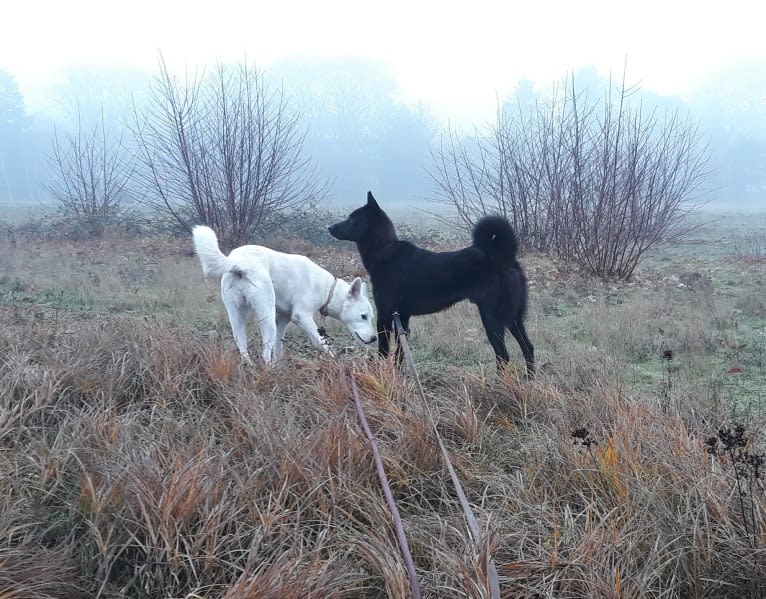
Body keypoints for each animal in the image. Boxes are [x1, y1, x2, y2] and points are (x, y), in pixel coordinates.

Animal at [189, 226, 376, 364]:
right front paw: (336, 361)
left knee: (243, 347)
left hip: (237, 316)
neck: (327, 289)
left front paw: (280, 365)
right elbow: (321, 343)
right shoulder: (301, 316)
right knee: (265, 353)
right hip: (267, 316)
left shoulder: (282, 320)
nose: (374, 338)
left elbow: (279, 349)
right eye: (363, 316)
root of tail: (239, 263)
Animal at [328, 192, 536, 376]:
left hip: (492, 318)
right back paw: (529, 379)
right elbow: (400, 354)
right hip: (513, 318)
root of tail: (503, 257)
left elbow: (384, 351)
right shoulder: (402, 316)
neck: (384, 249)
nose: (330, 227)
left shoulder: (385, 315)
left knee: (503, 355)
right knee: (528, 347)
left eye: (352, 219)